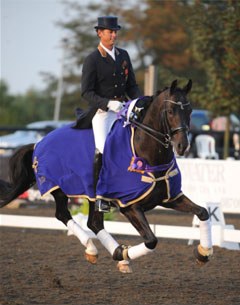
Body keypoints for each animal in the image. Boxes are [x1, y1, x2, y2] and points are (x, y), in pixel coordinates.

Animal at [0, 79, 214, 272]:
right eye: (170, 111)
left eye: (190, 111)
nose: (182, 146)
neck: (146, 154)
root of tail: (38, 143)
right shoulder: (129, 205)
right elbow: (151, 240)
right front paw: (125, 253)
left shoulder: (170, 198)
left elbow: (203, 212)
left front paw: (203, 253)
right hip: (59, 188)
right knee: (63, 214)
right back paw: (101, 250)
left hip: (91, 196)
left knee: (93, 222)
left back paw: (108, 252)